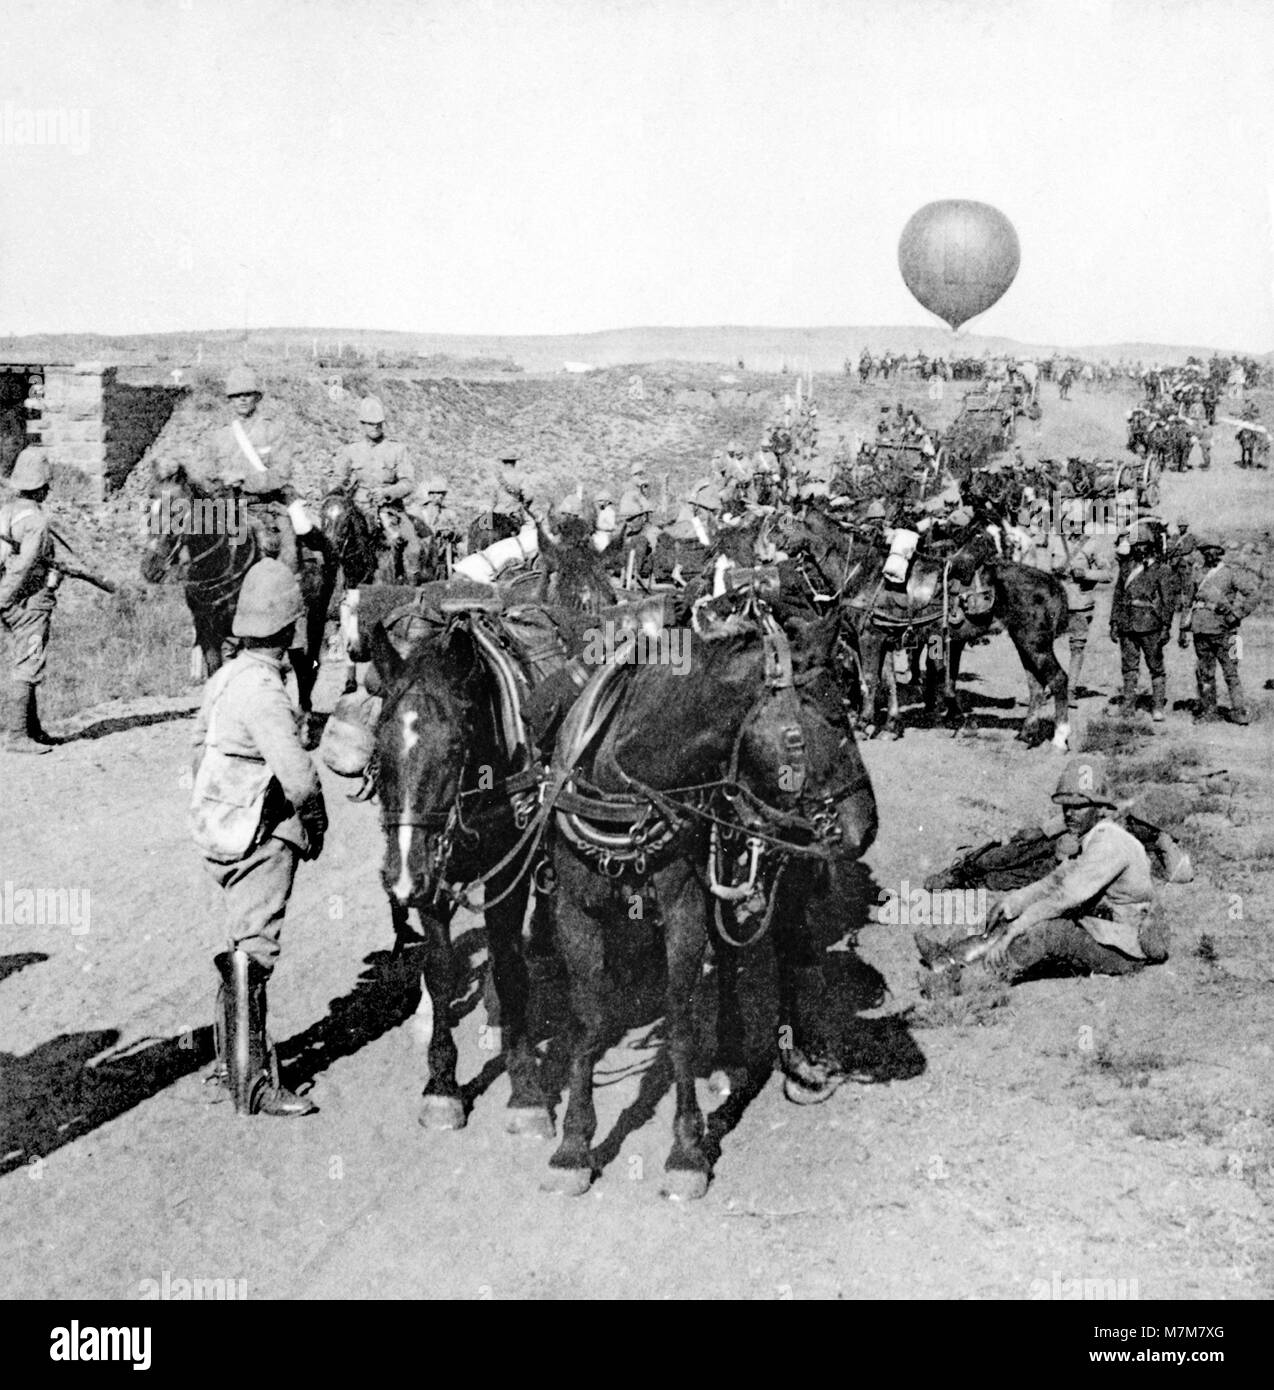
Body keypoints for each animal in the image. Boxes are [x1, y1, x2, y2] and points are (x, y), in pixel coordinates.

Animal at [141, 469, 336, 733]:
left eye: (176, 512)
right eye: (148, 511)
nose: (150, 568)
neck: (222, 563)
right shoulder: (208, 632)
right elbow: (216, 673)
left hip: (314, 617)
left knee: (307, 666)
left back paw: (303, 720)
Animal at [536, 603, 872, 1200]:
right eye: (807, 732)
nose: (866, 824)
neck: (622, 786)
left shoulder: (683, 909)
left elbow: (680, 1022)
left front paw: (687, 1150)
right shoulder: (575, 911)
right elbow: (587, 1020)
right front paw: (573, 1147)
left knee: (791, 949)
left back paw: (797, 1062)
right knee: (735, 951)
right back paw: (731, 1053)